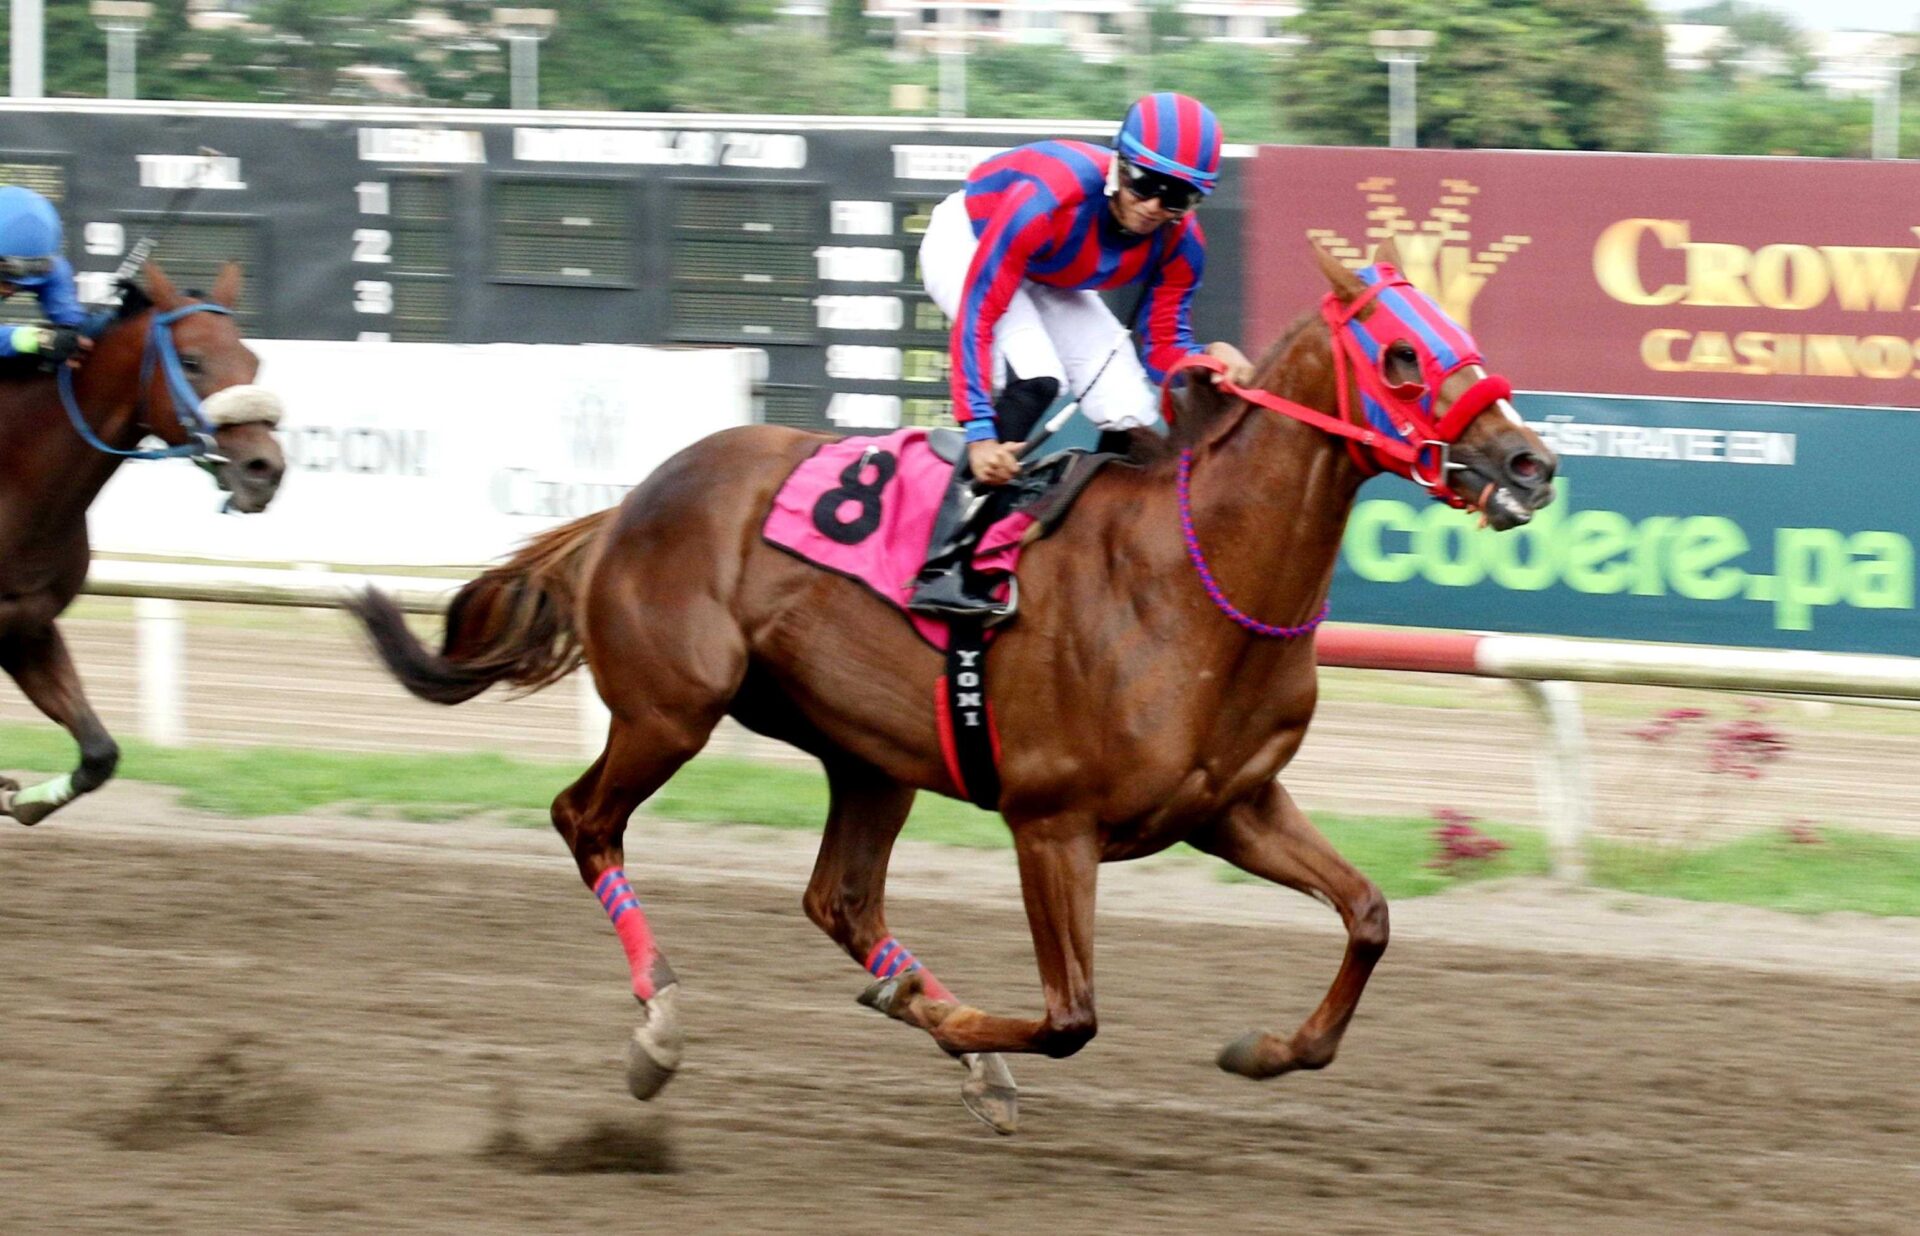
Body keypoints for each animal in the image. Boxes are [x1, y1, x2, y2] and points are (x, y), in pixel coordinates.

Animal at [0, 262, 285, 826]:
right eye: (192, 361)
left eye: (253, 360)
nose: (265, 469)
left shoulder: (26, 624)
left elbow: (99, 754)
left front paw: (20, 800)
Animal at [348, 238, 1558, 1134]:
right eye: (1401, 356)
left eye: (1463, 336)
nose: (1529, 463)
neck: (1190, 579)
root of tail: (630, 504)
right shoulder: (1051, 823)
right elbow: (1072, 1017)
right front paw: (955, 1029)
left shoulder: (1234, 806)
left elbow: (1370, 915)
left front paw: (1268, 1049)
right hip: (670, 709)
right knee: (583, 819)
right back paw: (663, 1025)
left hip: (868, 754)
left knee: (838, 898)